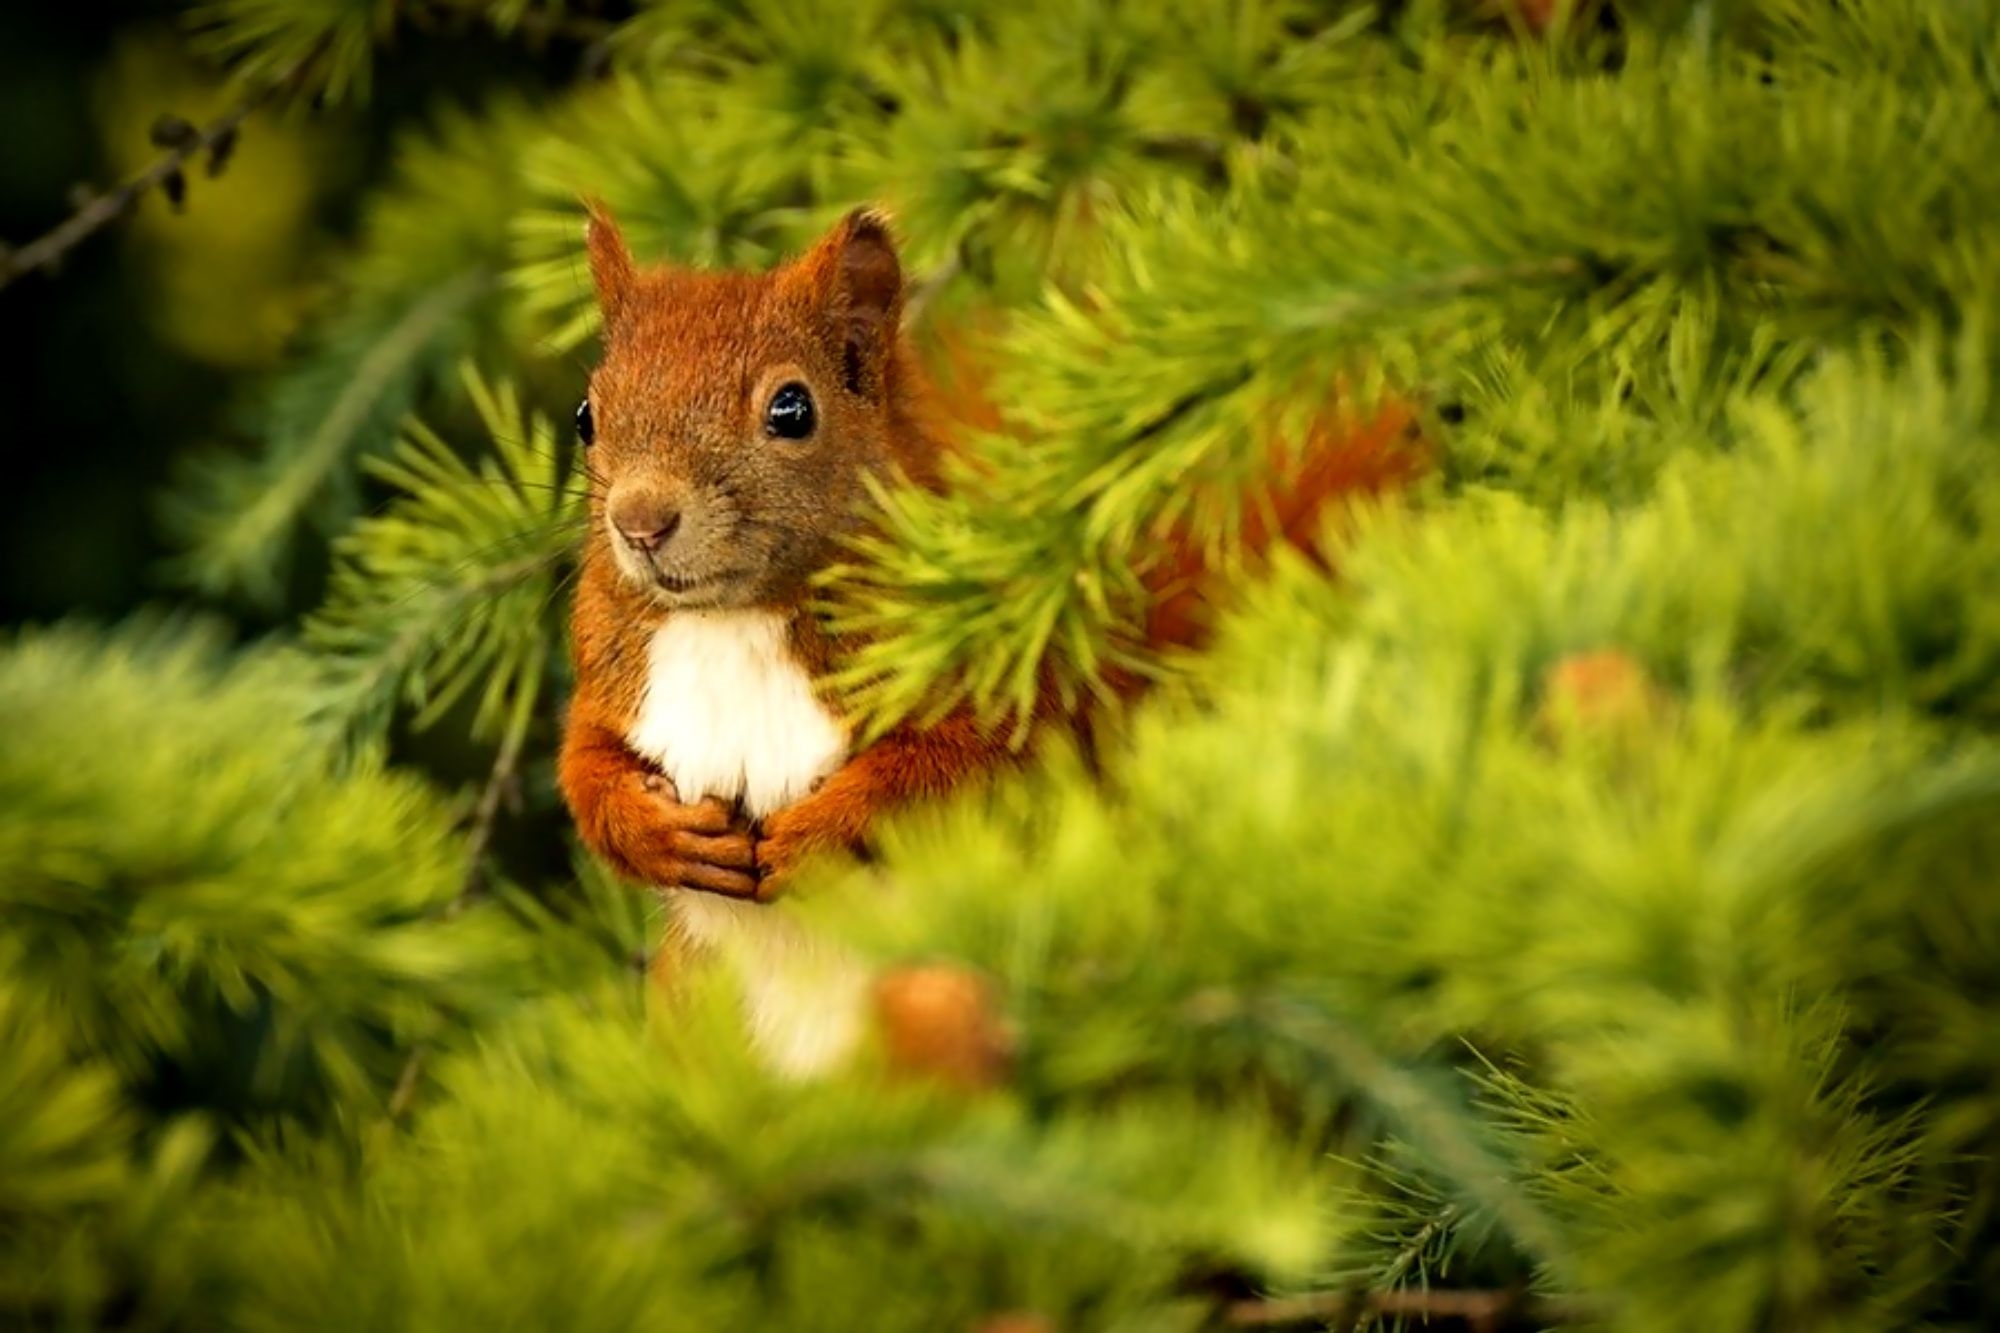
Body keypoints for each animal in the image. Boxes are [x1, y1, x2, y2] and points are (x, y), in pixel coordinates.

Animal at [556, 200, 1416, 1072]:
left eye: (791, 409)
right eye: (588, 414)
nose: (641, 521)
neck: (735, 619)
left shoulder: (1003, 690)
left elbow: (961, 772)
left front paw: (818, 833)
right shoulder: (610, 684)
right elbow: (584, 769)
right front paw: (655, 830)